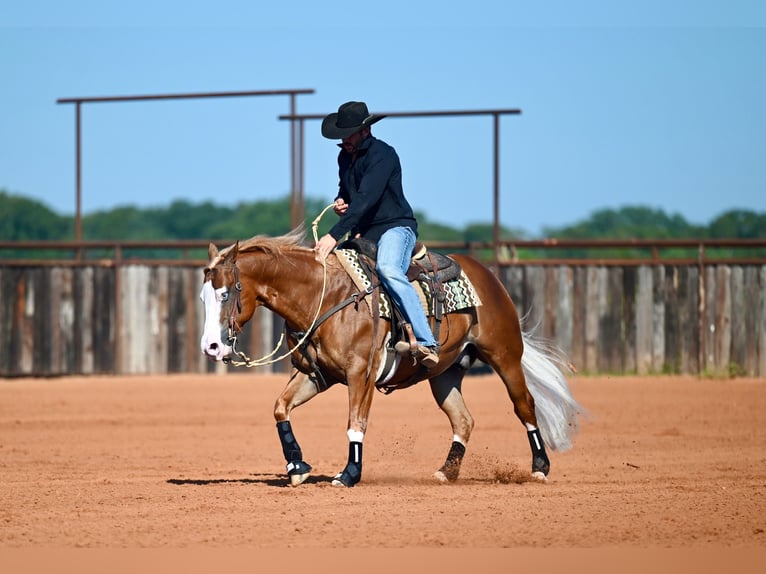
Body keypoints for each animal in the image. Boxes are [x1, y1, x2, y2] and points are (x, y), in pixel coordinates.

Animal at [199, 226, 582, 487]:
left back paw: (539, 468)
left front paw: (349, 473)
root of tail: (487, 275)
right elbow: (280, 407)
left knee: (524, 405)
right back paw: (447, 472)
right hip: (445, 373)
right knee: (463, 420)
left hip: (504, 355)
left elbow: (356, 423)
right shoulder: (315, 375)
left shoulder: (361, 374)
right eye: (203, 296)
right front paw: (297, 467)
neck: (325, 297)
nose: (211, 347)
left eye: (226, 293)